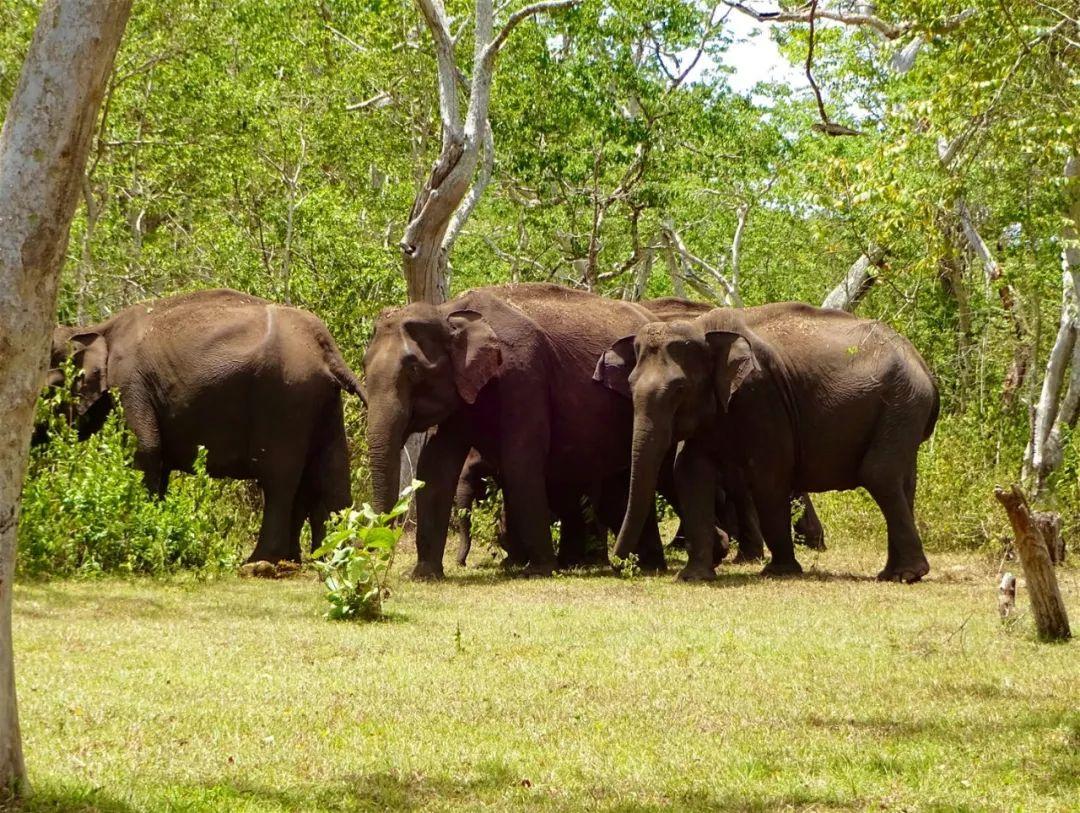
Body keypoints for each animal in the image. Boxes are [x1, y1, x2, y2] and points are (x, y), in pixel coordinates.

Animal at [44, 289, 365, 561]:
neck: (98, 329)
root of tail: (325, 346)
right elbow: (159, 463)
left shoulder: (128, 384)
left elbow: (144, 450)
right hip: (322, 400)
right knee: (331, 470)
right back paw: (328, 559)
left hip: (286, 394)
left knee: (279, 477)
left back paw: (261, 561)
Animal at [362, 282, 665, 578]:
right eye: (364, 368)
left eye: (414, 370)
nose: (374, 553)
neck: (448, 313)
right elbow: (435, 467)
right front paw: (422, 575)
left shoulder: (523, 374)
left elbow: (521, 461)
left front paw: (541, 570)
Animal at [596, 302, 941, 578]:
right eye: (629, 384)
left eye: (680, 388)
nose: (619, 563)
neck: (705, 329)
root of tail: (923, 365)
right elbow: (689, 474)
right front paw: (694, 576)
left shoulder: (761, 395)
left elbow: (769, 475)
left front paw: (780, 571)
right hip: (903, 410)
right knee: (902, 481)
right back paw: (892, 574)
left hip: (902, 402)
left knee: (879, 474)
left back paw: (907, 575)